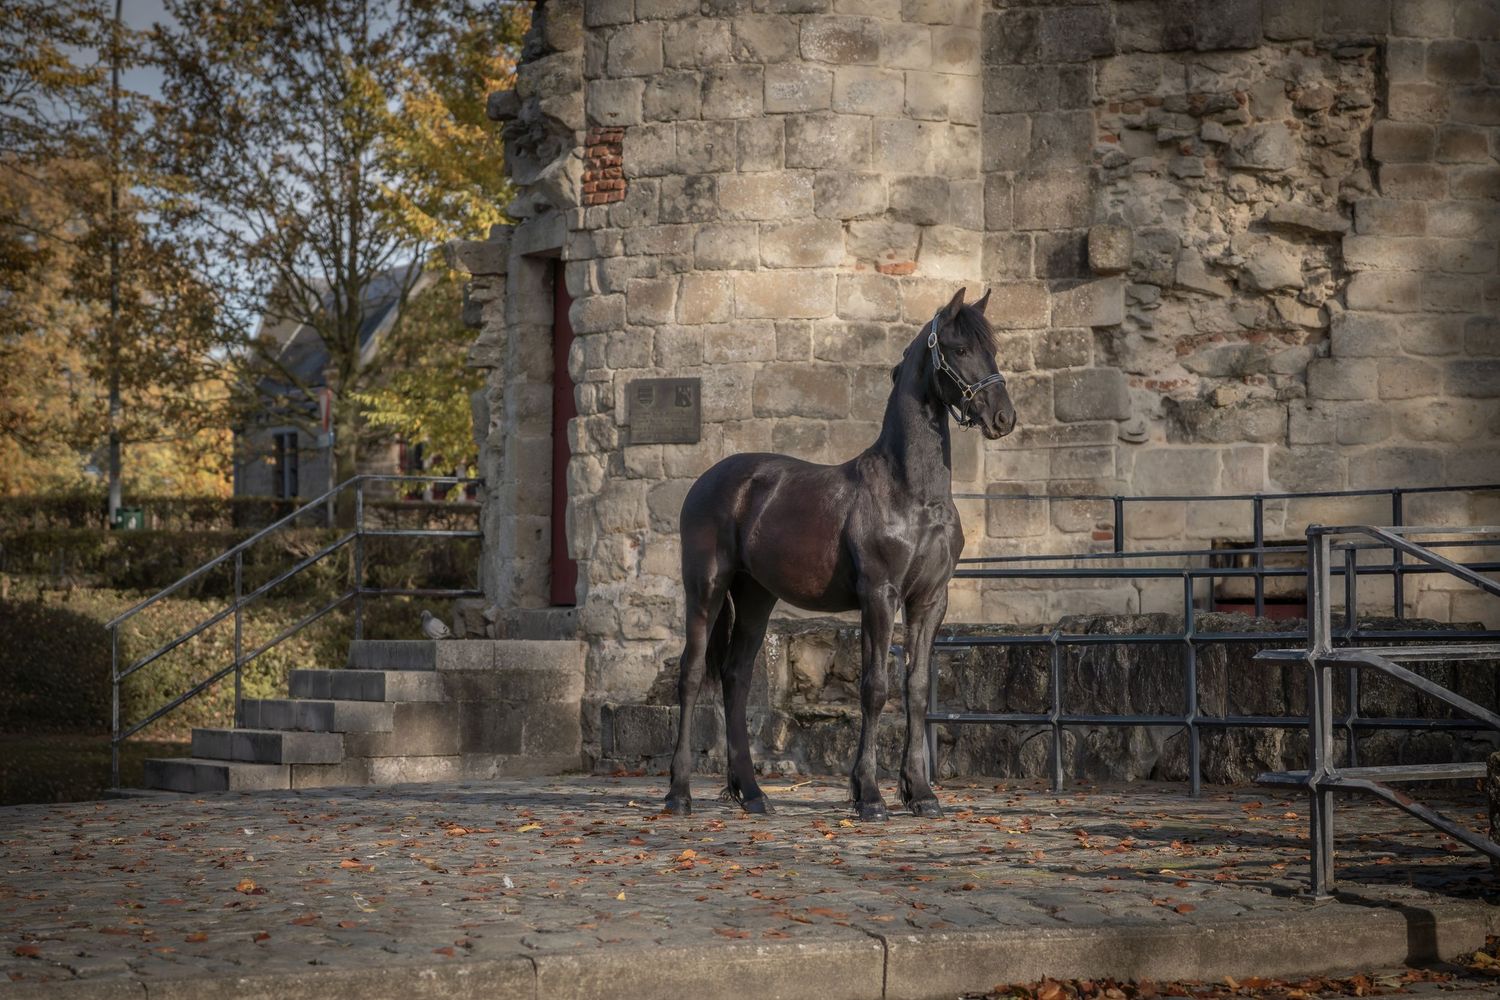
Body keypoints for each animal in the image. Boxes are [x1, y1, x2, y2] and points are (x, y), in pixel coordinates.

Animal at [664, 287, 1017, 821]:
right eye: (958, 349)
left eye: (992, 348)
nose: (1003, 417)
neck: (913, 494)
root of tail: (710, 479)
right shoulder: (879, 596)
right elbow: (875, 689)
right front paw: (869, 796)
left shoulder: (930, 600)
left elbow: (915, 689)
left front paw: (921, 793)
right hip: (705, 588)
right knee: (690, 675)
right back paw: (679, 794)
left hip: (755, 598)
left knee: (735, 678)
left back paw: (753, 794)